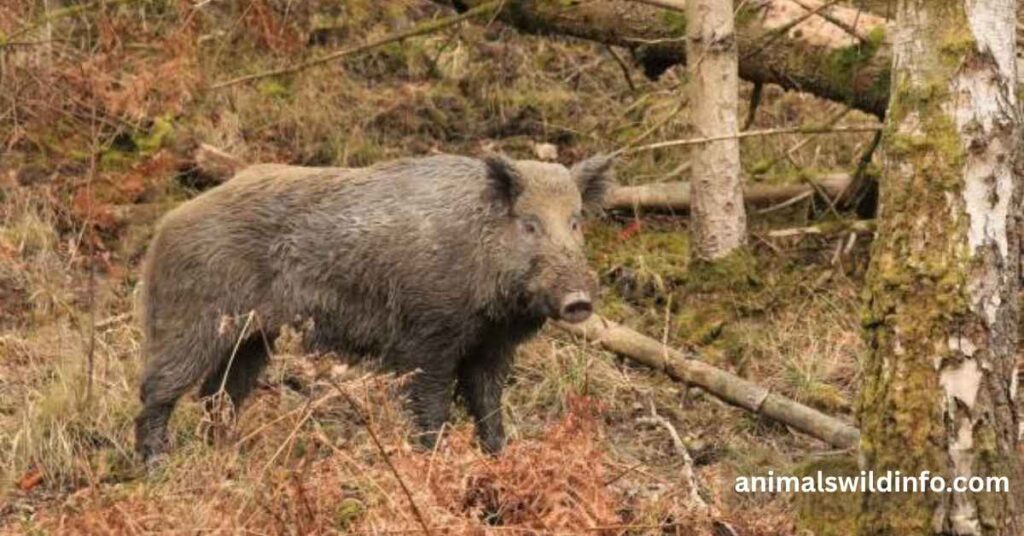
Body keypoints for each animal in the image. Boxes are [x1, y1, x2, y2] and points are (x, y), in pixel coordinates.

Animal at [135, 153, 613, 462]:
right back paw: (156, 466)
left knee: (219, 394)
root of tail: (164, 226)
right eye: (529, 224)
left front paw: (500, 460)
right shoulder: (427, 338)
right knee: (158, 391)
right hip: (192, 319)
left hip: (254, 336)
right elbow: (432, 406)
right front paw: (435, 462)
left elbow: (488, 405)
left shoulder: (490, 348)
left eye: (575, 222)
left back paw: (229, 456)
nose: (578, 301)